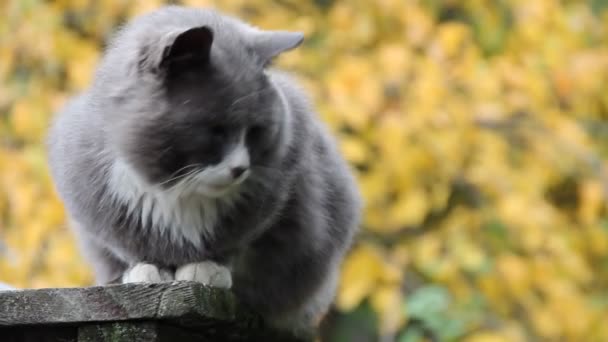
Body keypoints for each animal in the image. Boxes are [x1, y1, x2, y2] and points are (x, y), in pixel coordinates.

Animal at [48, 4, 360, 336]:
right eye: (216, 130)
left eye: (254, 131)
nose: (240, 168)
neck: (176, 187)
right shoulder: (98, 203)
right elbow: (130, 245)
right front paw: (145, 270)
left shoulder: (267, 204)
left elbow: (234, 245)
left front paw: (206, 270)